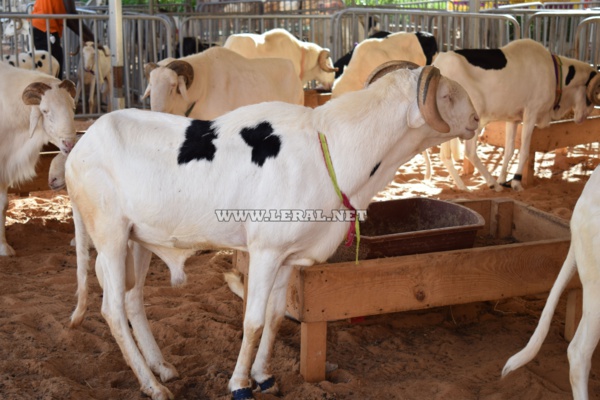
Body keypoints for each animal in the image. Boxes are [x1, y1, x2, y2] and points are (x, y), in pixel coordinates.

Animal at [64, 64, 478, 398]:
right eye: (446, 95)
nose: (475, 118)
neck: (330, 146)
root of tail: (79, 148)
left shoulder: (290, 256)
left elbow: (277, 316)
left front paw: (264, 377)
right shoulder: (264, 251)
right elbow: (254, 320)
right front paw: (239, 384)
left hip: (140, 239)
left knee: (133, 300)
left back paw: (162, 368)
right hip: (110, 235)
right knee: (113, 308)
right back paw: (152, 385)